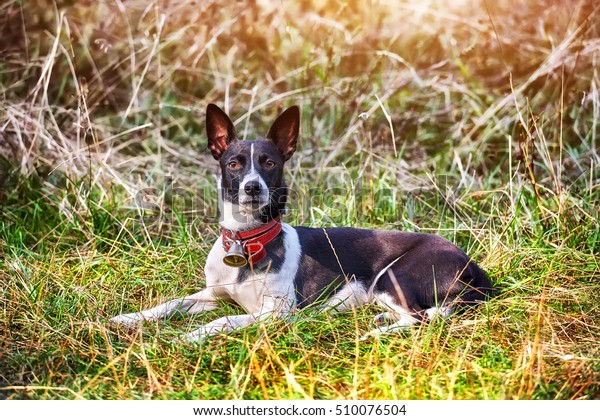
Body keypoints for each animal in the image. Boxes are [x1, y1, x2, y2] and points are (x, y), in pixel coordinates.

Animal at [109, 103, 492, 342]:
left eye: (269, 163)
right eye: (233, 164)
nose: (252, 187)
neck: (247, 239)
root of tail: (471, 263)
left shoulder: (275, 313)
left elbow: (223, 320)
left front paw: (192, 335)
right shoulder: (213, 295)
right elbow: (170, 304)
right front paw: (127, 319)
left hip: (394, 277)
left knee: (420, 318)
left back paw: (374, 332)